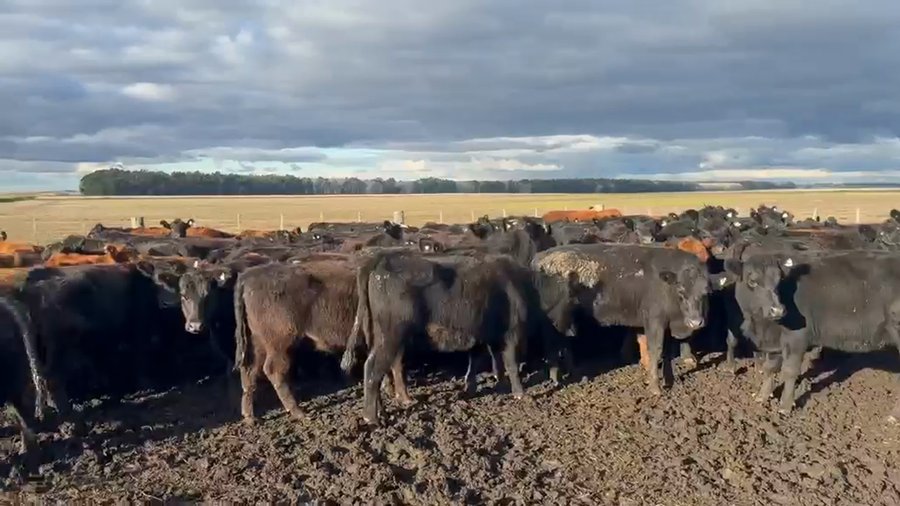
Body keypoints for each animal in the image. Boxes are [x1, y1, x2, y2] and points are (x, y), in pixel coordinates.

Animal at [232, 258, 360, 422]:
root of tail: (247, 277)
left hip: (258, 343)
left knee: (250, 371)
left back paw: (250, 418)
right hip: (279, 343)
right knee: (273, 370)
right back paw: (299, 412)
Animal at [340, 250, 558, 425]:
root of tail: (380, 259)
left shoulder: (482, 334)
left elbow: (481, 360)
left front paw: (480, 386)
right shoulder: (512, 333)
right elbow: (511, 363)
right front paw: (520, 394)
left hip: (383, 337)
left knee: (385, 368)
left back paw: (391, 407)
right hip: (391, 337)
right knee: (373, 369)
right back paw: (372, 418)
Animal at [532, 243, 722, 394]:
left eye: (706, 292)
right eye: (681, 291)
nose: (695, 322)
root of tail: (540, 258)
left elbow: (667, 352)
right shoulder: (655, 321)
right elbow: (656, 350)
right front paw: (655, 388)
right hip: (554, 319)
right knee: (552, 346)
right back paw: (556, 378)